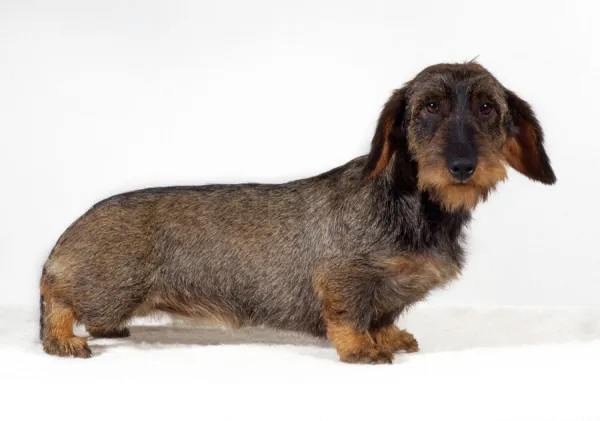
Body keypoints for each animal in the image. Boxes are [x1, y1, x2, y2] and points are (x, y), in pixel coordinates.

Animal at [39, 61, 556, 360]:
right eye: (429, 107)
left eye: (487, 107)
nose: (463, 166)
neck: (417, 207)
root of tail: (68, 234)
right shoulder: (345, 278)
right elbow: (350, 317)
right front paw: (361, 349)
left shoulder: (391, 292)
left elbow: (384, 316)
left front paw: (389, 337)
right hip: (108, 289)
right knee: (58, 298)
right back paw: (62, 338)